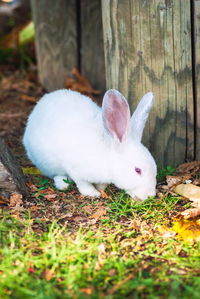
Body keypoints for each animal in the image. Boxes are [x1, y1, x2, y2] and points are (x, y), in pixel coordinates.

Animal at [23, 89, 157, 202]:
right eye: (137, 170)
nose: (151, 195)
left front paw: (100, 188)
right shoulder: (75, 169)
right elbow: (82, 183)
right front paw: (93, 193)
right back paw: (63, 184)